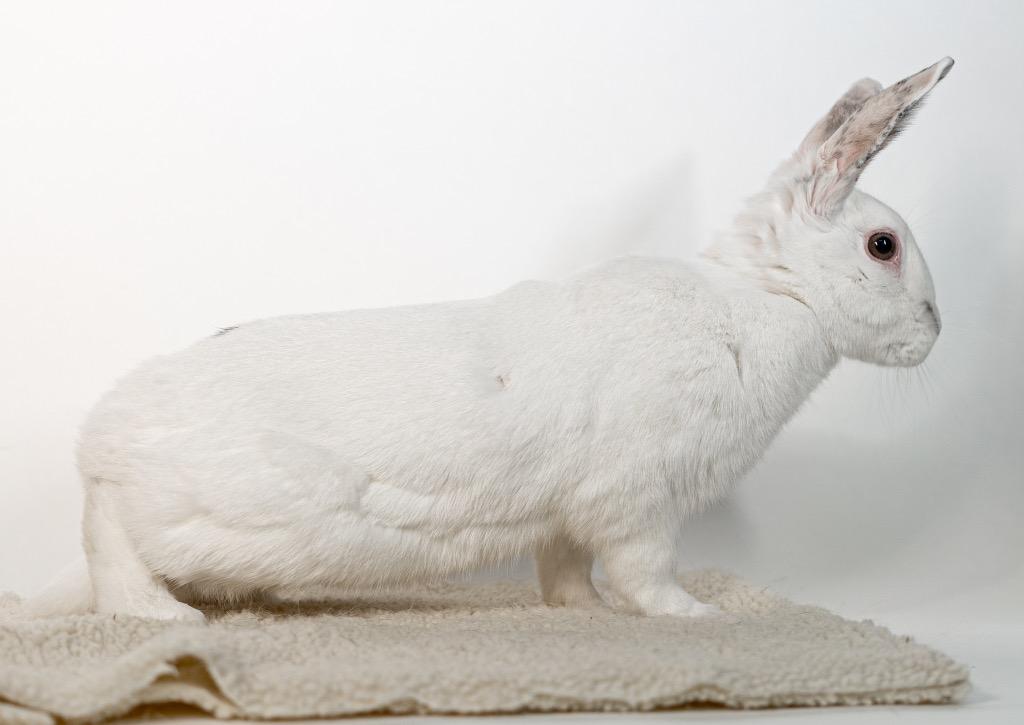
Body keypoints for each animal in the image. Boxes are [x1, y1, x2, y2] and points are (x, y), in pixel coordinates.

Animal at [27, 57, 952, 622]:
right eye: (883, 246)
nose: (935, 333)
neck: (766, 294)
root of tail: (99, 441)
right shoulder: (638, 500)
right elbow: (645, 568)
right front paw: (696, 615)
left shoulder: (567, 517)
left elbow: (567, 569)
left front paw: (583, 613)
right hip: (186, 513)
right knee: (111, 542)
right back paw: (166, 614)